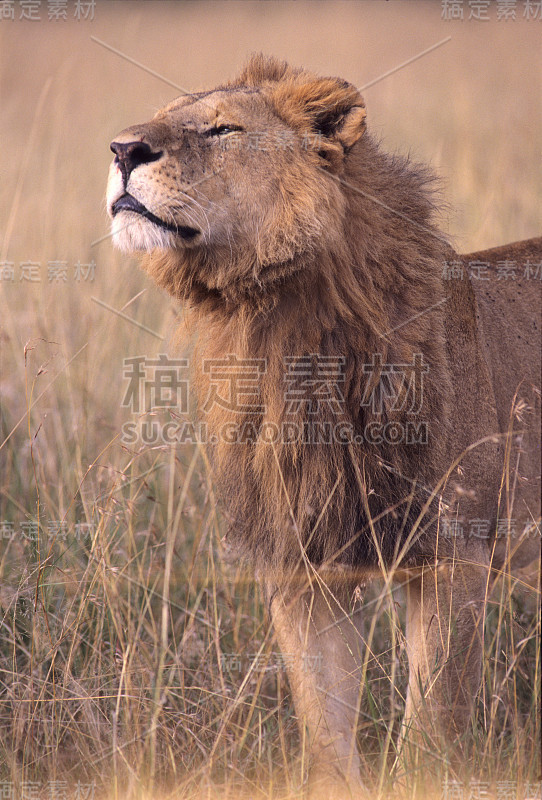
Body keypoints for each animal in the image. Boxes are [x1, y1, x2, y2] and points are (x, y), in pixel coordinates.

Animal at [107, 54, 542, 792]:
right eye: (159, 117)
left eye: (223, 128)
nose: (121, 150)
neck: (277, 326)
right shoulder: (305, 565)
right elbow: (325, 727)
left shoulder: (452, 555)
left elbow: (431, 727)